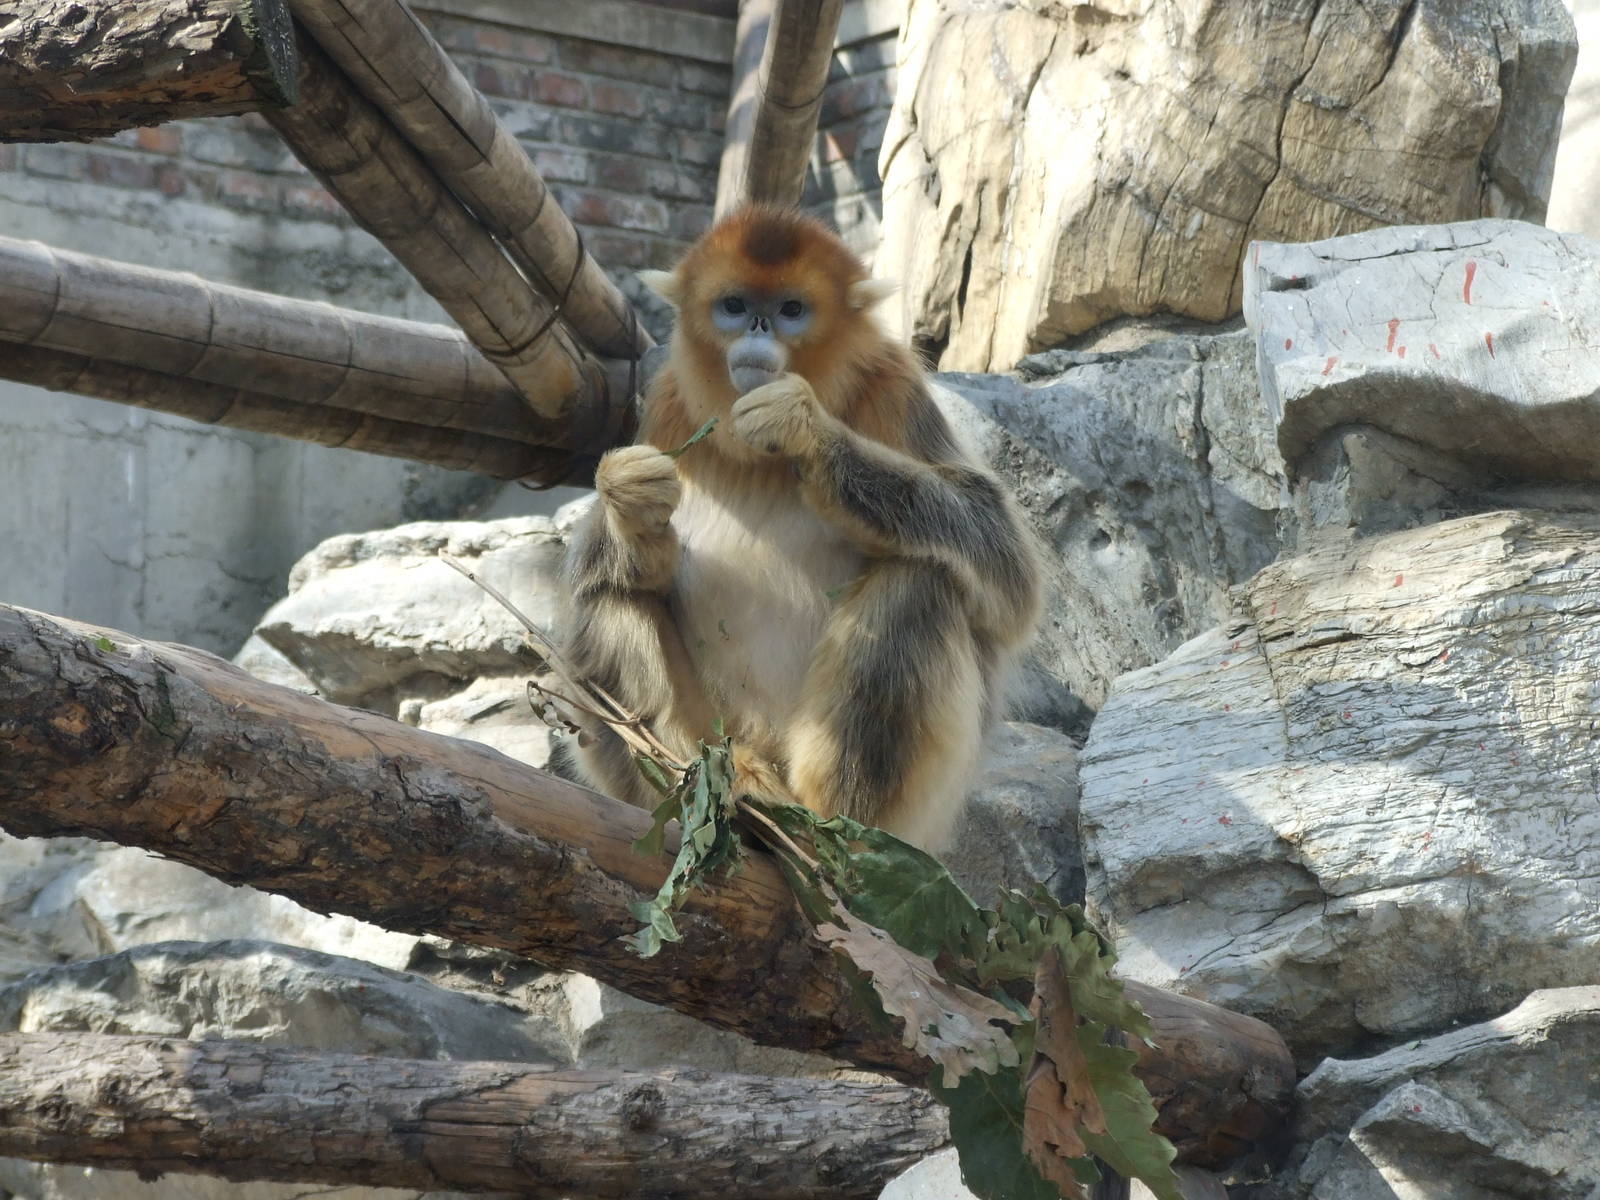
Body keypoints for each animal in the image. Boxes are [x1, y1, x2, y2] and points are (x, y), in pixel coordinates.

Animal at [559, 205, 1042, 851]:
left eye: (791, 309)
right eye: (734, 305)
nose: (759, 326)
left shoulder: (892, 384)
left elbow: (1009, 575)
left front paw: (803, 429)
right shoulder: (668, 402)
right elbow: (636, 568)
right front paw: (629, 498)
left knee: (920, 582)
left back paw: (822, 830)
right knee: (608, 597)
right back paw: (719, 791)